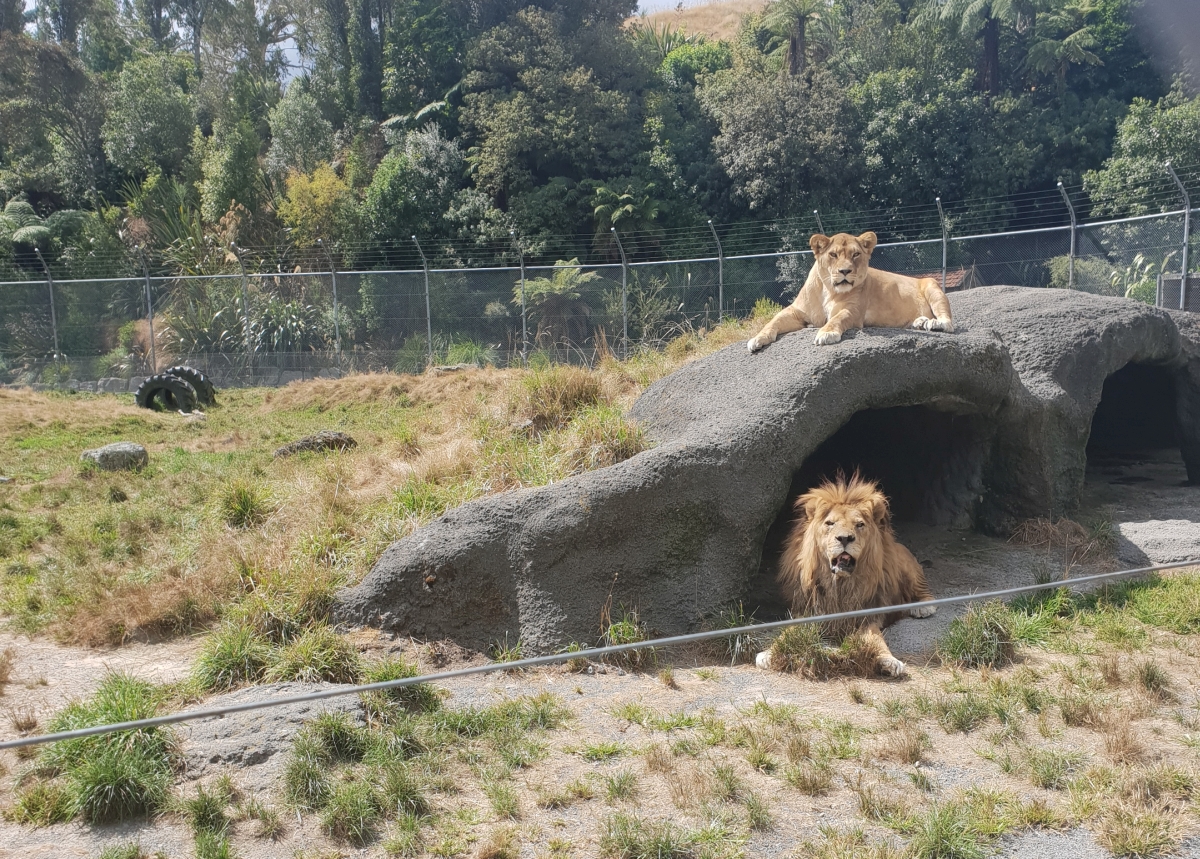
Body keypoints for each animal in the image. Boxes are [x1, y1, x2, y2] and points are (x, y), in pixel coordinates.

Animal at [744, 231, 950, 352]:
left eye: (856, 254)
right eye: (833, 254)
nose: (845, 271)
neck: (828, 289)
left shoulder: (853, 311)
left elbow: (837, 318)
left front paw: (826, 334)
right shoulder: (797, 311)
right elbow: (774, 321)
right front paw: (757, 339)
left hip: (932, 285)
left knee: (948, 322)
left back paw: (934, 323)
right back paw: (920, 322)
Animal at [753, 472, 940, 676]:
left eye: (859, 525)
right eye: (830, 523)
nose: (844, 538)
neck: (840, 585)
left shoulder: (866, 617)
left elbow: (877, 639)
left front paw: (889, 660)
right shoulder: (809, 612)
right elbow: (787, 633)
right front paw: (769, 654)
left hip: (908, 566)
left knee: (923, 589)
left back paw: (922, 607)